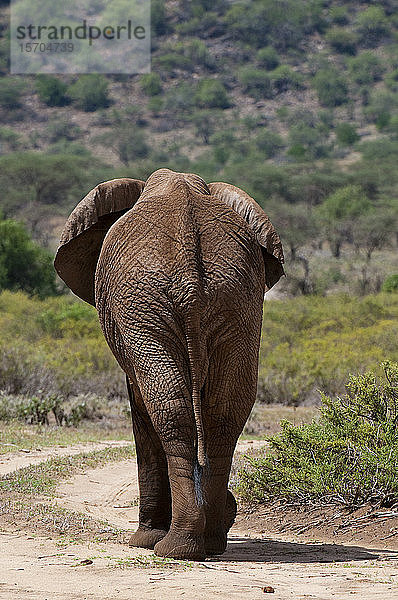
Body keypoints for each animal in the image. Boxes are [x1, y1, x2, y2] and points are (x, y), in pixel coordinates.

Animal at [54, 168, 284, 556]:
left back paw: (173, 547)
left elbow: (139, 404)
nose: (234, 507)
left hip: (145, 305)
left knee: (167, 407)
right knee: (225, 410)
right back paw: (209, 542)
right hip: (236, 300)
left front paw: (142, 540)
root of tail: (190, 273)